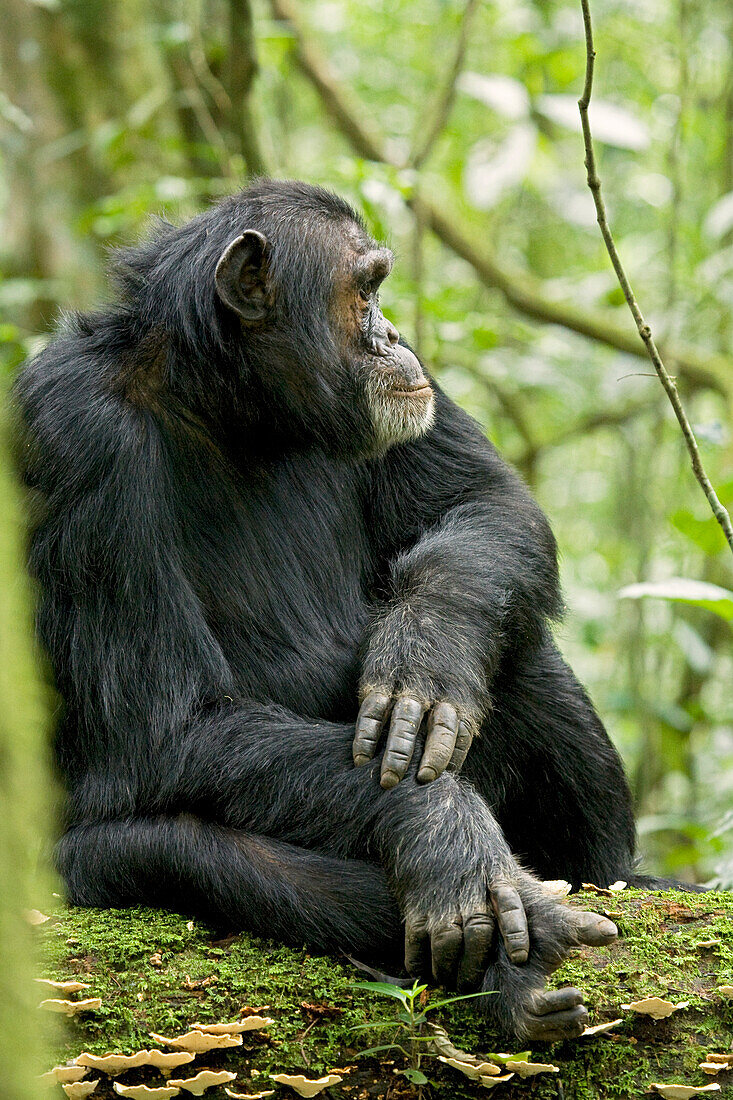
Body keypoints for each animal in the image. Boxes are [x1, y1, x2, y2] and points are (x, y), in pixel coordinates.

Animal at [15, 180, 655, 1038]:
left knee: (515, 639)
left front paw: (427, 651)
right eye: (364, 291)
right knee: (175, 849)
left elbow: (483, 502)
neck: (231, 404)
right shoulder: (73, 434)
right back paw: (513, 959)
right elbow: (164, 725)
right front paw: (438, 825)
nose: (393, 333)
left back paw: (613, 879)